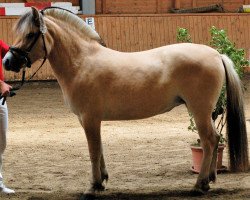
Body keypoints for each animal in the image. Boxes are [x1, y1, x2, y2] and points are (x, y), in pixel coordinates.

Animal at [2, 6, 249, 198]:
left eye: (30, 34)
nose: (7, 61)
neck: (82, 62)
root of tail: (217, 55)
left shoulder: (90, 119)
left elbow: (93, 151)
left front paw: (92, 187)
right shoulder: (88, 120)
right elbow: (99, 149)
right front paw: (102, 181)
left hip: (199, 110)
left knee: (209, 140)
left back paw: (200, 185)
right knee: (214, 140)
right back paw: (210, 179)